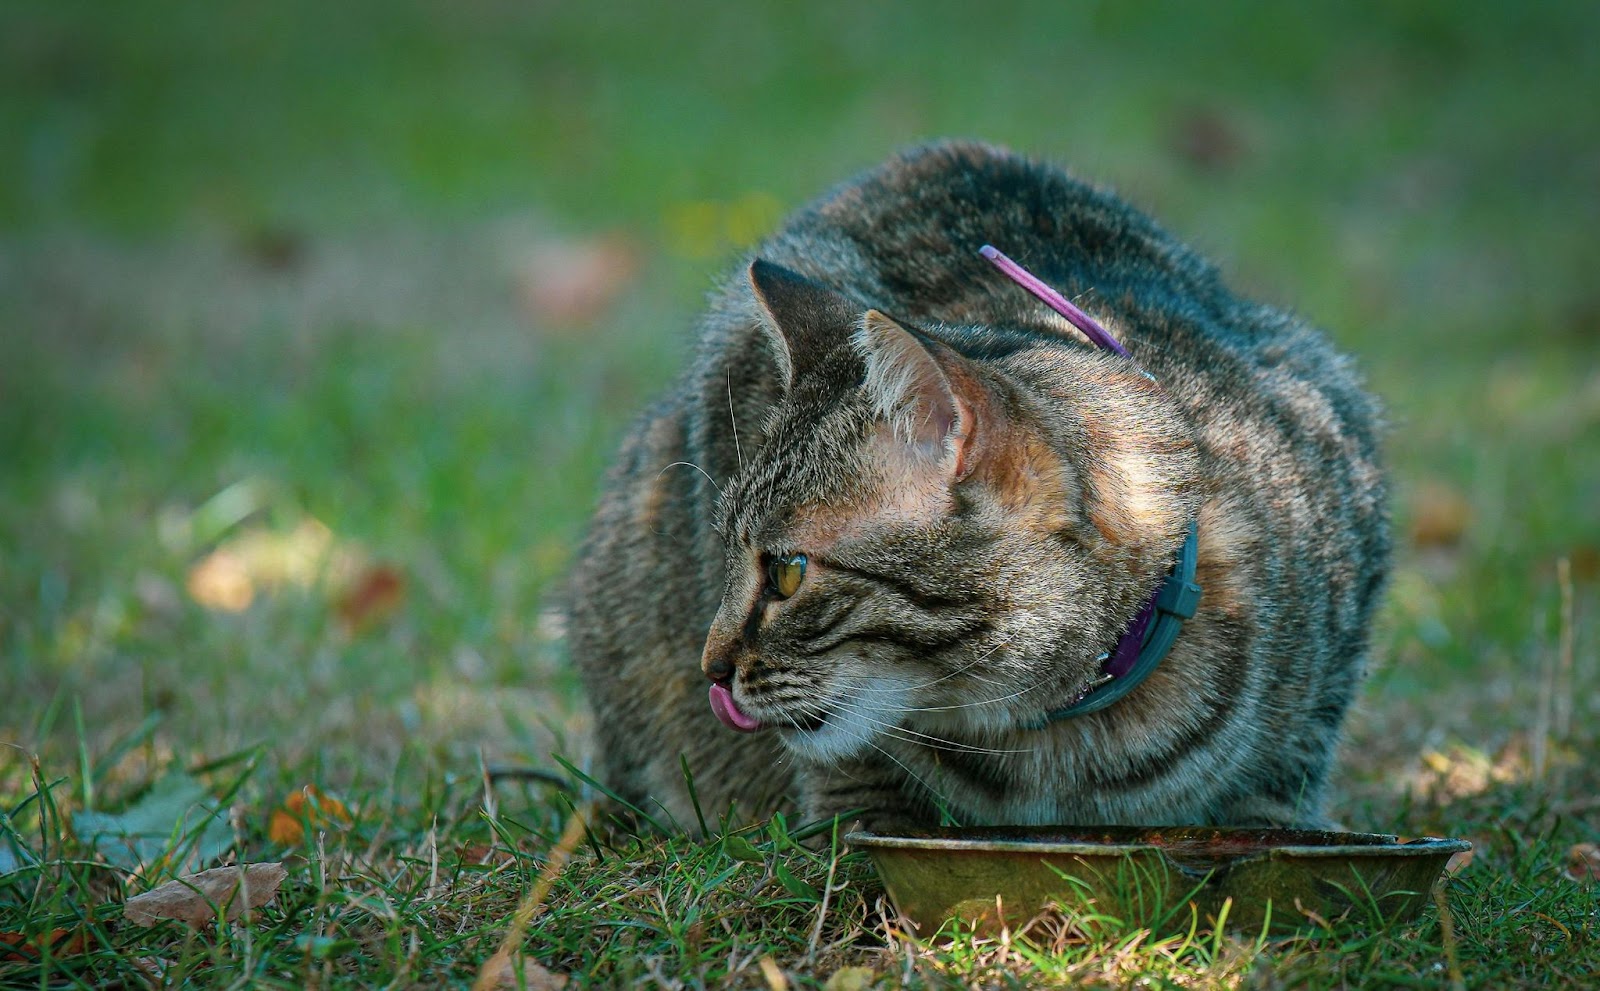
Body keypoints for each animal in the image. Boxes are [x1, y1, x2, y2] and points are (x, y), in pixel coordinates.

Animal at [566, 139, 1388, 832]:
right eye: (730, 552)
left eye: (789, 572)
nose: (710, 667)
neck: (1065, 725)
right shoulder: (726, 380)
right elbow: (849, 766)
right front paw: (862, 826)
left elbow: (1280, 783)